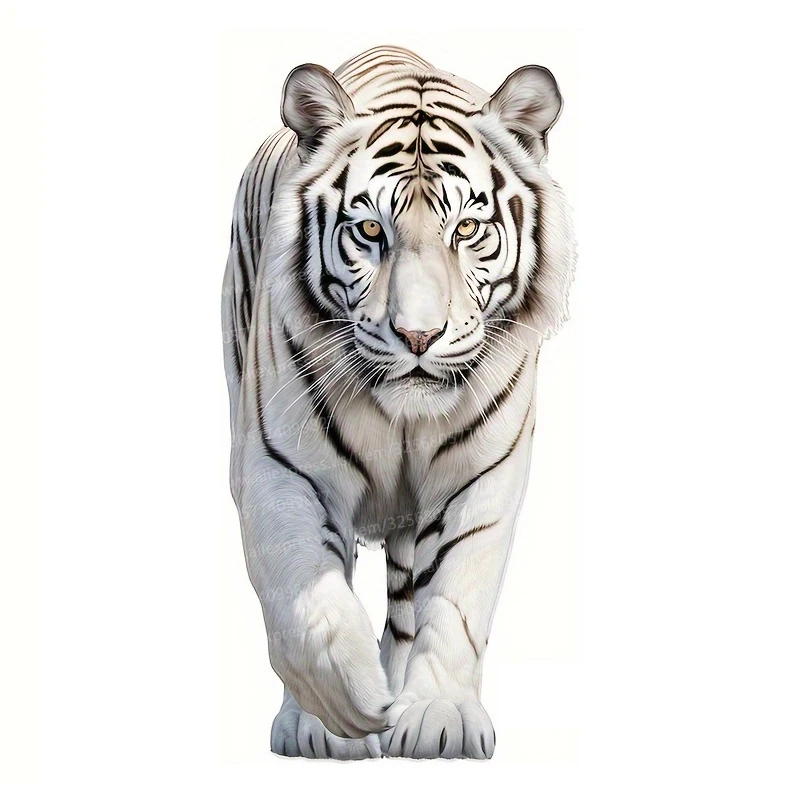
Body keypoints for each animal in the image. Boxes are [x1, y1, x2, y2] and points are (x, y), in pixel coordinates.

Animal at [222, 45, 575, 760]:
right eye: (368, 230)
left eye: (468, 228)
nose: (418, 336)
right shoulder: (281, 468)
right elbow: (303, 592)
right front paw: (338, 707)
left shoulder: (481, 475)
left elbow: (455, 598)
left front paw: (438, 715)